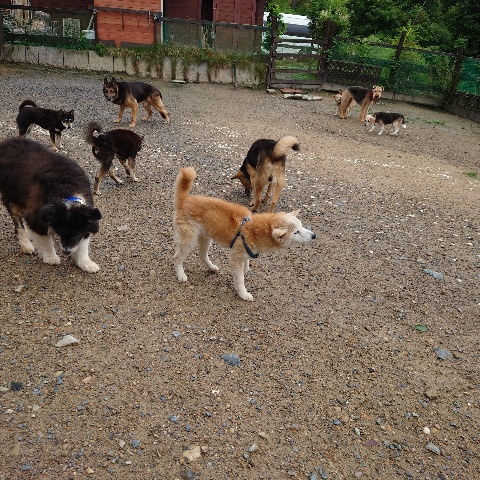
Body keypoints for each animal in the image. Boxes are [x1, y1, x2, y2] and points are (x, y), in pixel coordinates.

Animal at [0, 137, 102, 272]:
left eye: (76, 235)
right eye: (61, 233)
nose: (66, 252)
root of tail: (7, 142)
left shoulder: (87, 218)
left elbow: (83, 245)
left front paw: (86, 263)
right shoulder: (36, 217)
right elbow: (45, 240)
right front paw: (51, 257)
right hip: (12, 199)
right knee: (18, 225)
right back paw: (27, 245)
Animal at [173, 167, 316, 301]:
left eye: (301, 226)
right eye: (296, 232)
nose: (314, 235)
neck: (253, 228)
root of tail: (184, 199)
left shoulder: (246, 252)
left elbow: (246, 265)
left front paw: (246, 269)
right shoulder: (235, 257)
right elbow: (240, 279)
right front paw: (243, 294)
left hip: (206, 237)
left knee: (202, 255)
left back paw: (212, 267)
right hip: (189, 240)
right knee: (177, 257)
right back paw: (181, 275)